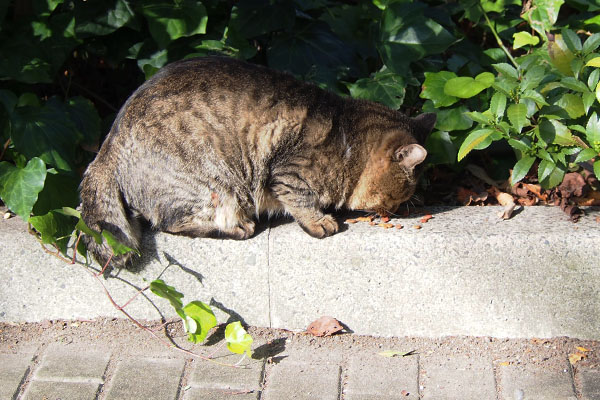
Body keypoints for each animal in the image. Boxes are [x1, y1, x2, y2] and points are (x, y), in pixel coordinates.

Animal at [79, 56, 436, 268]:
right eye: (402, 194)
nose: (394, 210)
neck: (348, 138)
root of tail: (108, 146)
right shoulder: (288, 173)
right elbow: (301, 200)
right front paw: (320, 222)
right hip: (212, 186)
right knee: (171, 222)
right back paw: (238, 227)